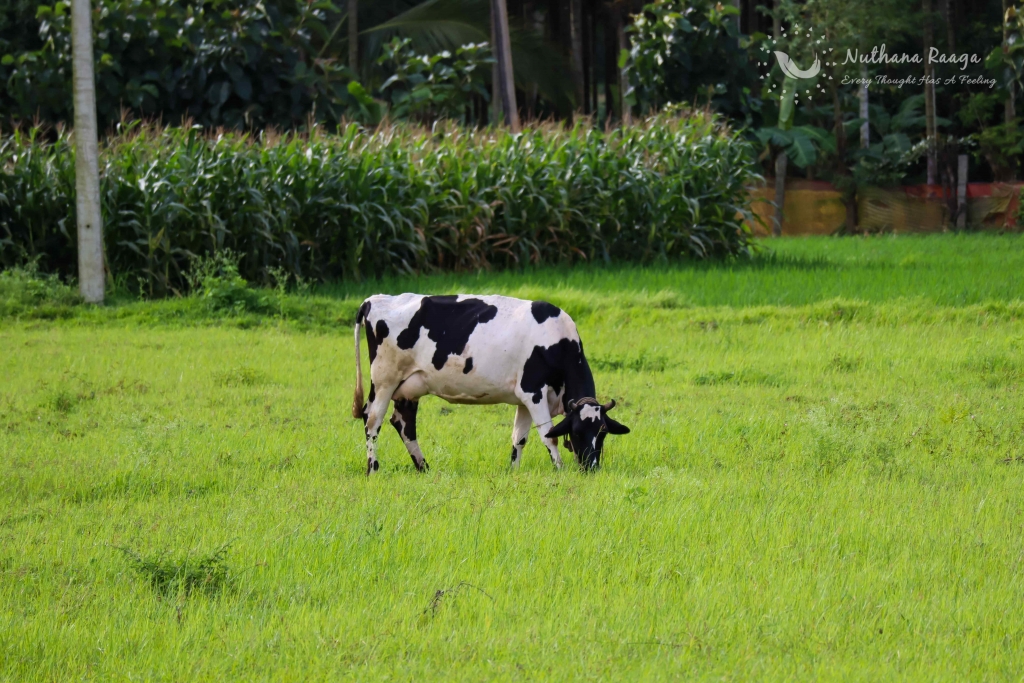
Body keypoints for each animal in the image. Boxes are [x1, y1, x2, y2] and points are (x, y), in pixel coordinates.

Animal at [352, 294, 626, 475]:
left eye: (602, 432)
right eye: (577, 432)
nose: (591, 467)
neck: (557, 340)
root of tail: (374, 299)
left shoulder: (524, 398)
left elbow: (519, 437)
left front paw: (514, 471)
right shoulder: (534, 392)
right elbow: (548, 436)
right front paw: (559, 469)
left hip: (410, 388)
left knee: (403, 424)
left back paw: (423, 467)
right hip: (384, 380)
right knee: (372, 420)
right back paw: (373, 469)